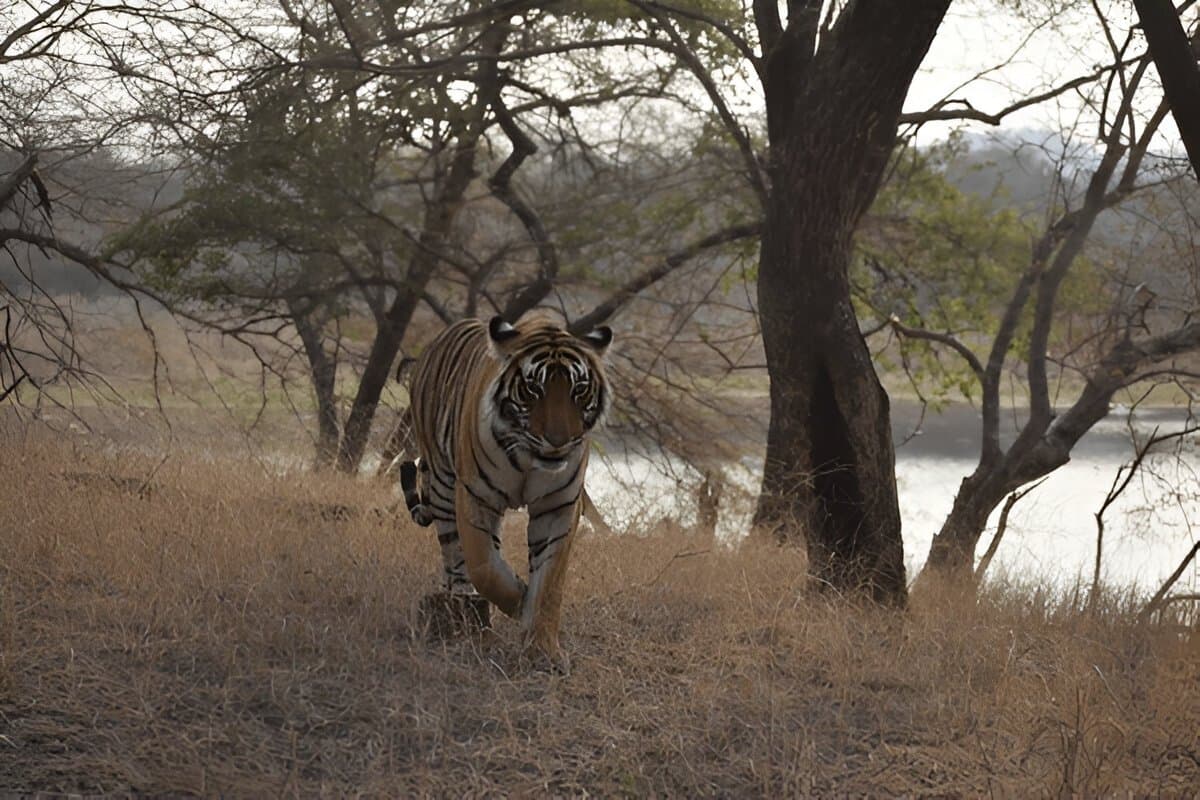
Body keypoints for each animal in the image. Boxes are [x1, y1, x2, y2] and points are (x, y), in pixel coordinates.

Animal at [398, 314, 612, 668]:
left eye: (579, 390)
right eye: (534, 388)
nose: (559, 441)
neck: (528, 458)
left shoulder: (559, 507)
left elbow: (550, 582)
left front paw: (543, 650)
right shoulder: (476, 496)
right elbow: (484, 566)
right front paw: (520, 600)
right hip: (442, 483)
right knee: (453, 552)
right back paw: (462, 599)